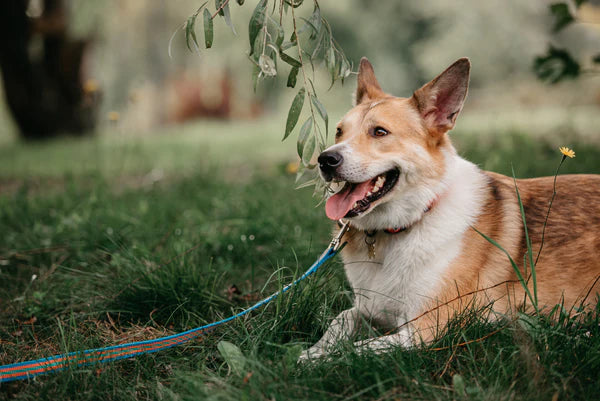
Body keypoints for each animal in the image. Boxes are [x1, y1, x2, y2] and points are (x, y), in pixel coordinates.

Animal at [300, 56, 600, 360]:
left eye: (380, 132)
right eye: (339, 131)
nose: (325, 160)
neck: (411, 220)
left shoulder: (422, 332)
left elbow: (349, 352)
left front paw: (306, 361)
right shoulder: (370, 308)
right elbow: (341, 321)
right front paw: (310, 352)